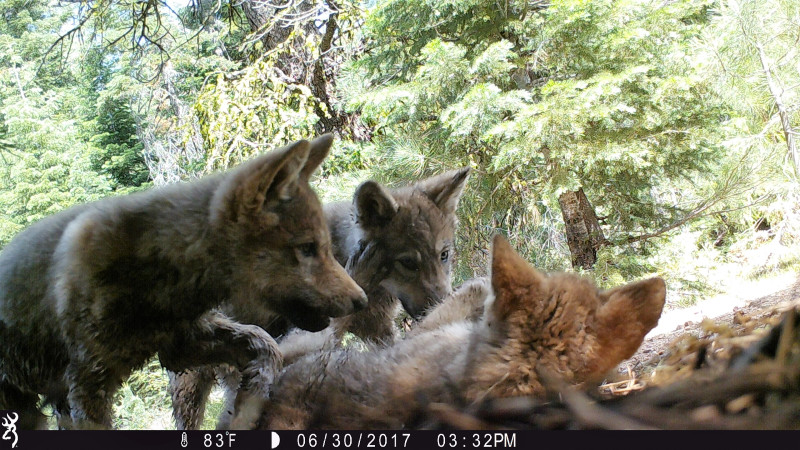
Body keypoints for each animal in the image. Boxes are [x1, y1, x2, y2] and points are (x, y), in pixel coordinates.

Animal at [0, 135, 367, 430]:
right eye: (307, 249)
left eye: (326, 247)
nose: (361, 301)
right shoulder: (87, 384)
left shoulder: (182, 344)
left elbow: (266, 347)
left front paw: (246, 408)